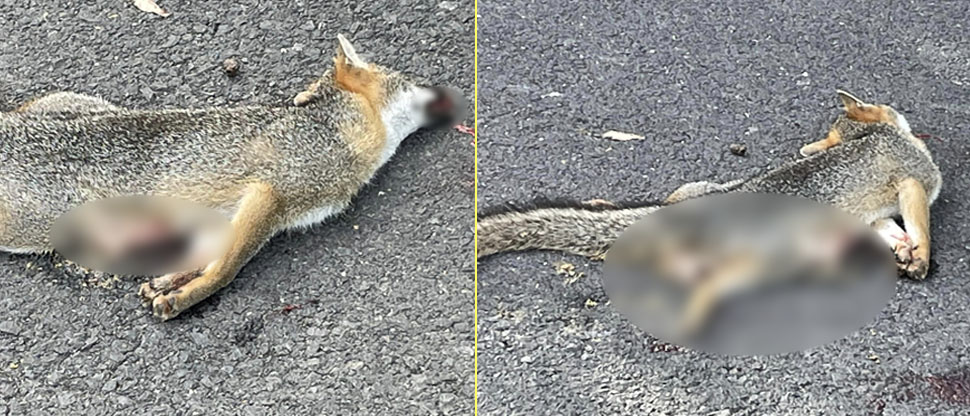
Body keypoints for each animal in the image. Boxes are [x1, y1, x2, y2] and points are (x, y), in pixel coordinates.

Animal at [0, 34, 464, 320]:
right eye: (413, 84)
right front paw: (188, 297)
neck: (339, 128)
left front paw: (171, 281)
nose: (449, 91)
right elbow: (230, 265)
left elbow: (209, 254)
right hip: (28, 227)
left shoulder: (223, 220)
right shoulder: (271, 194)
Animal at [477, 90, 942, 281]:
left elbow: (894, 231)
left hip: (693, 191)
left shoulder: (875, 218)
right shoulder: (914, 182)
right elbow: (921, 226)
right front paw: (920, 256)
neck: (874, 136)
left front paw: (904, 251)